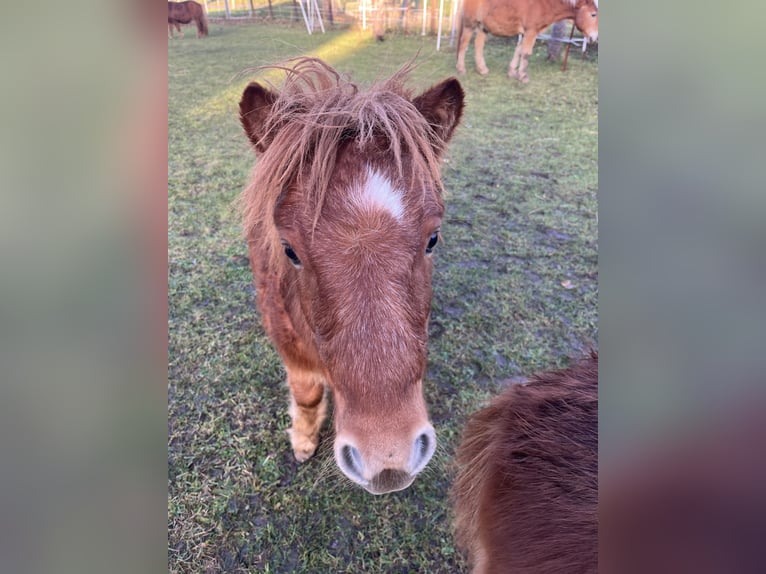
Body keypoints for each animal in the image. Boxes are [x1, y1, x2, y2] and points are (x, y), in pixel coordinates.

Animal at [456, 0, 600, 83]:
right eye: (593, 14)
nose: (594, 38)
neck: (544, 4)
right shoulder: (531, 32)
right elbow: (526, 53)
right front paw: (523, 76)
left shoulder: (525, 33)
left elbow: (519, 51)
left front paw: (512, 72)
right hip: (470, 24)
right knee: (463, 44)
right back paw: (461, 69)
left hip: (483, 27)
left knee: (478, 45)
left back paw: (482, 69)